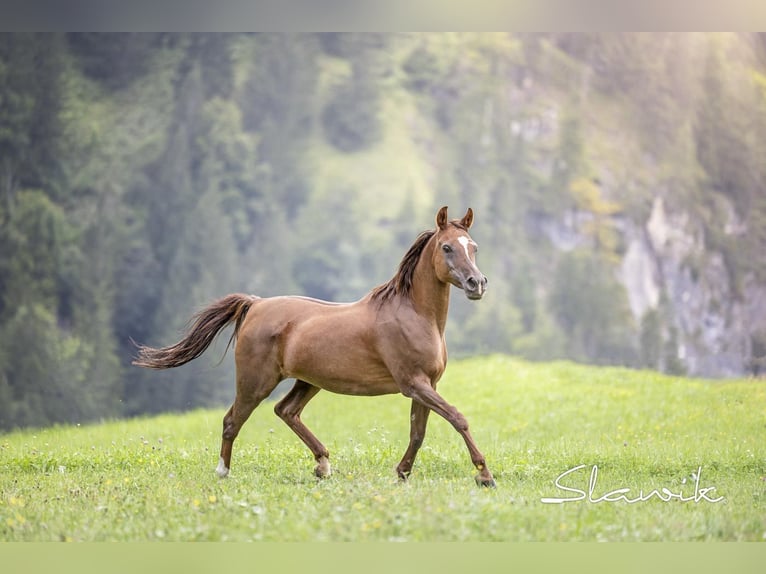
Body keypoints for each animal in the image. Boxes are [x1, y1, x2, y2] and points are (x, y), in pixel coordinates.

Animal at [134, 206, 498, 486]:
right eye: (447, 248)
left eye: (474, 247)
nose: (476, 284)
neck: (415, 315)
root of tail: (255, 304)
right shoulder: (414, 383)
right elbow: (458, 418)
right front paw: (484, 475)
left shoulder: (426, 385)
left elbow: (418, 433)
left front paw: (402, 473)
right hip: (255, 382)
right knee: (232, 420)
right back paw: (224, 472)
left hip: (308, 381)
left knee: (286, 411)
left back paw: (323, 465)